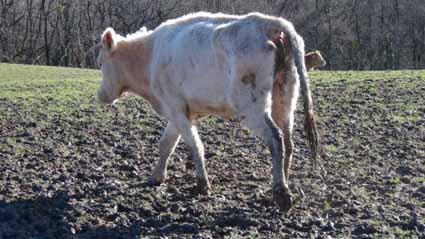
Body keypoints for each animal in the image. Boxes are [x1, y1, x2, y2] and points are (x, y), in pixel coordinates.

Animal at [97, 11, 318, 211]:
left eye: (101, 63)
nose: (100, 95)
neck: (150, 56)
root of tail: (267, 22)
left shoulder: (175, 107)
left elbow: (195, 145)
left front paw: (202, 184)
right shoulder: (178, 111)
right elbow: (166, 144)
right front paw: (156, 177)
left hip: (252, 105)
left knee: (275, 139)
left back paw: (281, 193)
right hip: (285, 98)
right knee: (288, 143)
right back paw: (283, 183)